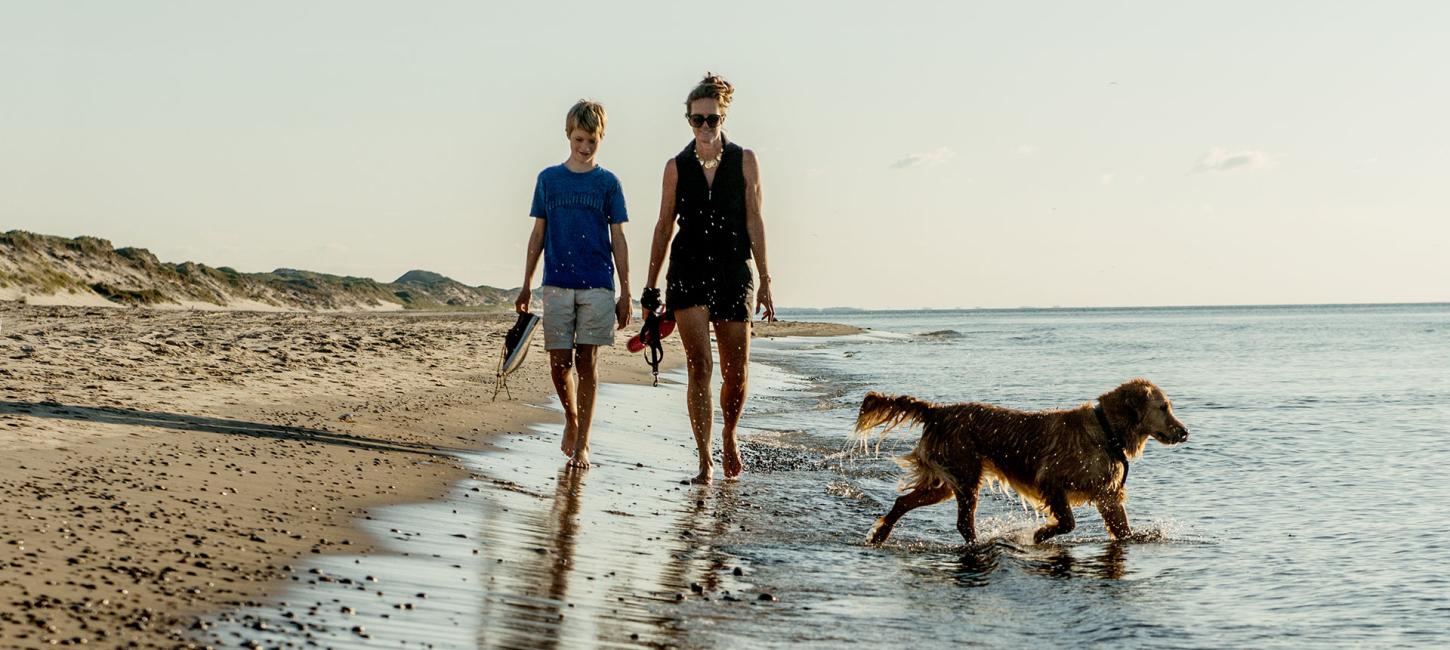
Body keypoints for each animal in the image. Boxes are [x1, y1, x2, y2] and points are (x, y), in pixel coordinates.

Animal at [846, 377, 1189, 545]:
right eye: (1163, 407)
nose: (1185, 432)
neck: (1106, 431)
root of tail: (938, 410)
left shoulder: (1107, 493)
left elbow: (1122, 529)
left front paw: (1140, 536)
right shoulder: (1051, 480)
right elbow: (1067, 521)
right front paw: (1039, 535)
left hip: (946, 480)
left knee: (903, 501)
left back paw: (880, 535)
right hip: (966, 474)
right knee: (963, 523)